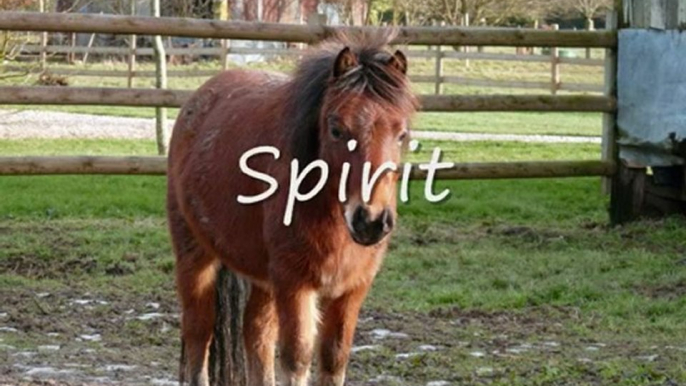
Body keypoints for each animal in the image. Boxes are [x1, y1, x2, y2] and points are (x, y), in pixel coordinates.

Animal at [167, 30, 420, 386]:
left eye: (401, 133)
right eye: (336, 129)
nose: (370, 221)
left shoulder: (352, 289)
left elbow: (333, 359)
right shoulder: (294, 283)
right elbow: (297, 358)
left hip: (262, 276)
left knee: (256, 332)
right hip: (194, 254)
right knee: (198, 331)